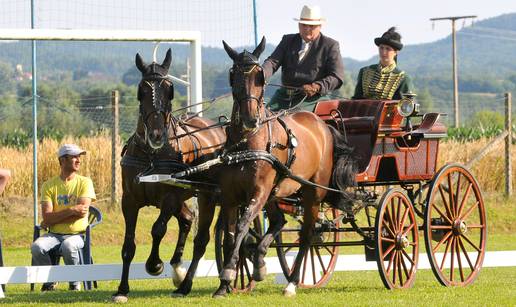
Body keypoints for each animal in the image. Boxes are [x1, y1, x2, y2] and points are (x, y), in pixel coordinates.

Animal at [113, 50, 226, 304]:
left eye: (169, 89)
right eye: (142, 90)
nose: (156, 135)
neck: (151, 154)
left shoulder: (170, 197)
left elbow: (158, 229)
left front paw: (154, 264)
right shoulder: (129, 200)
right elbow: (128, 244)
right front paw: (122, 290)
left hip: (206, 196)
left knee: (204, 235)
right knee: (187, 219)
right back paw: (178, 269)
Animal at [213, 38, 354, 298]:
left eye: (259, 77)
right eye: (233, 76)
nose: (250, 120)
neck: (247, 142)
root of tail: (323, 125)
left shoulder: (258, 192)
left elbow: (242, 226)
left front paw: (228, 272)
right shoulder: (230, 196)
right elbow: (229, 235)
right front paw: (225, 283)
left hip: (312, 193)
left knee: (307, 235)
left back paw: (292, 282)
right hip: (275, 192)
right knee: (279, 221)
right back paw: (260, 262)